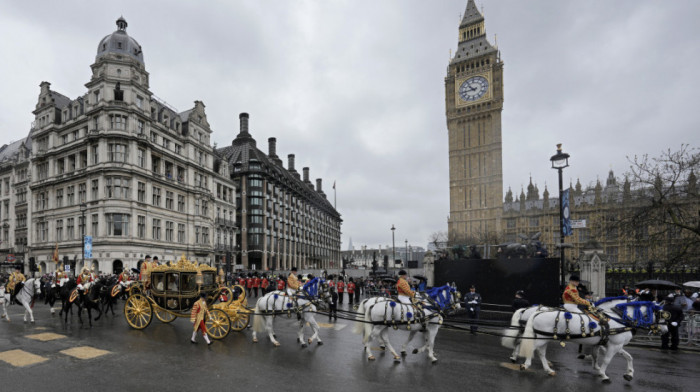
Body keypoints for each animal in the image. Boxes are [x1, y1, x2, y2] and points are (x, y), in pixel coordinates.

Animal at [520, 300, 668, 382]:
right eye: (661, 314)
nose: (666, 330)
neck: (620, 320)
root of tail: (538, 312)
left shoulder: (615, 345)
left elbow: (628, 357)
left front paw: (629, 374)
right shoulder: (614, 346)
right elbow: (607, 360)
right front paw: (603, 374)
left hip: (545, 338)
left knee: (541, 352)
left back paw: (548, 369)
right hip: (541, 338)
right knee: (533, 349)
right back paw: (526, 364)